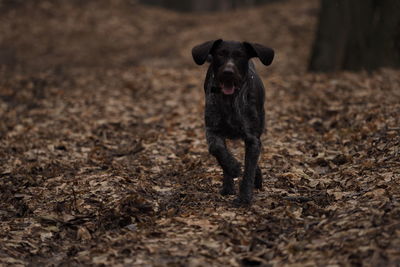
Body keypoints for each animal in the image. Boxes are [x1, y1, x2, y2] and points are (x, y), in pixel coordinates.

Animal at [191, 39, 274, 205]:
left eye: (240, 55)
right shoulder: (212, 130)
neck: (230, 100)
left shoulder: (252, 138)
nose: (228, 72)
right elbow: (217, 150)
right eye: (220, 54)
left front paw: (244, 197)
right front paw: (233, 167)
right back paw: (228, 186)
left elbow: (249, 169)